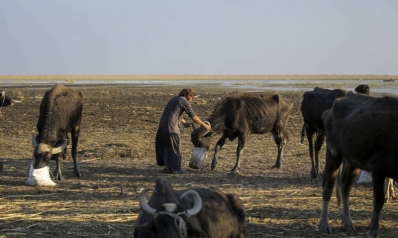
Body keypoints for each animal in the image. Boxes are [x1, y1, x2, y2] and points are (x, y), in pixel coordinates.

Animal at [318, 92, 398, 237]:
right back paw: (324, 224)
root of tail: (329, 111)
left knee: (345, 188)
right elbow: (378, 201)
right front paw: (372, 230)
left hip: (353, 162)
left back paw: (348, 222)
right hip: (334, 152)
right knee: (328, 188)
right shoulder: (378, 171)